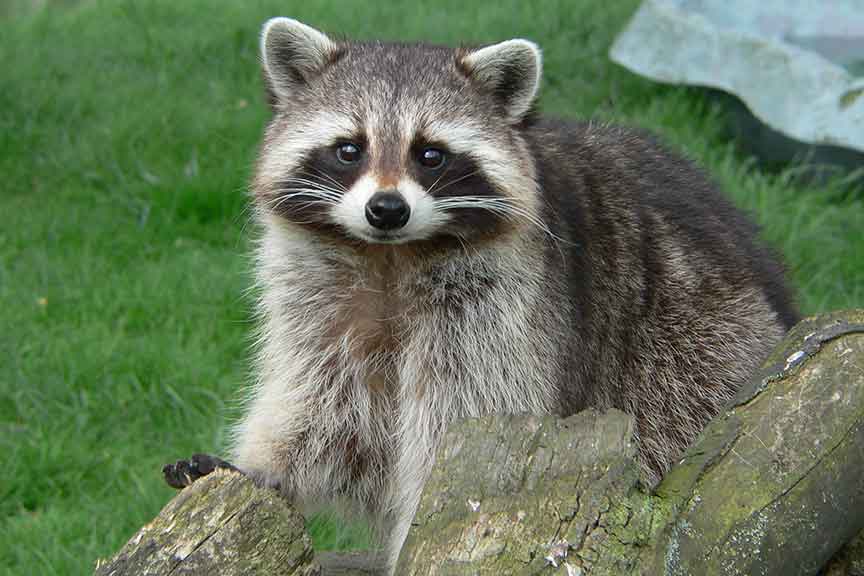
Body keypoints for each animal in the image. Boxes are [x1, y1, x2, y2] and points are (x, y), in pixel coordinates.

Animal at [164, 17, 797, 571]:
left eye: (430, 154)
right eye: (349, 149)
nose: (386, 209)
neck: (390, 256)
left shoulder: (502, 311)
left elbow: (462, 420)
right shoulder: (319, 301)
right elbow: (327, 409)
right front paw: (264, 468)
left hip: (695, 345)